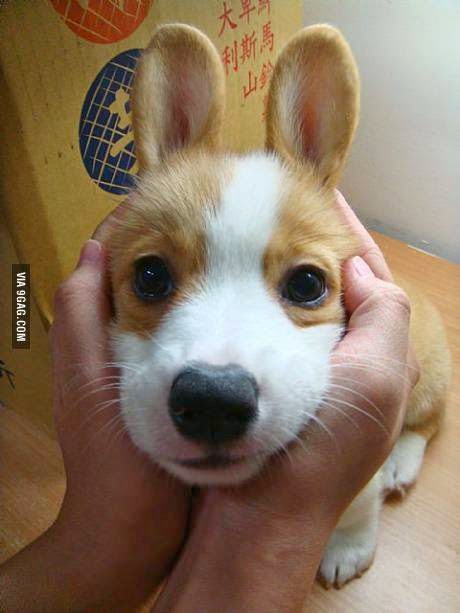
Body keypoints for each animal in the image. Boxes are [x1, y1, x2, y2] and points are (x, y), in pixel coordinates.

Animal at [103, 23, 450, 588]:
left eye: (307, 284)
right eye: (150, 276)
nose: (213, 401)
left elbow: (357, 506)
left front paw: (347, 547)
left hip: (431, 380)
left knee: (430, 421)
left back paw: (401, 461)